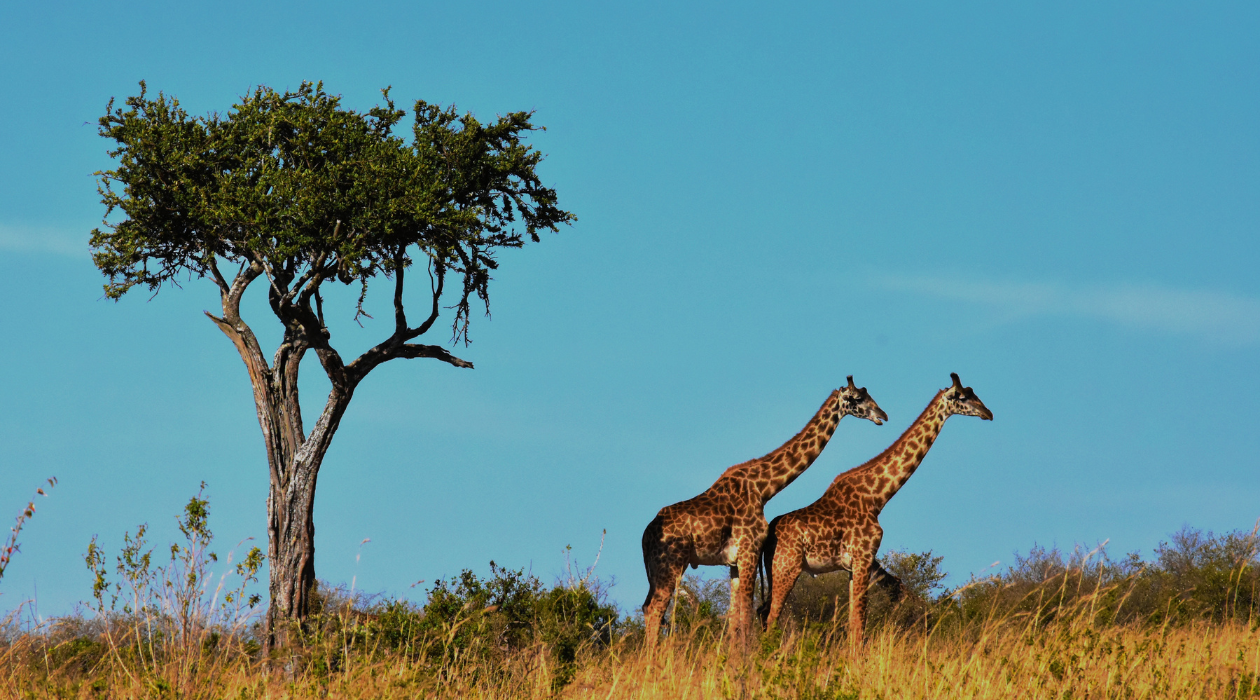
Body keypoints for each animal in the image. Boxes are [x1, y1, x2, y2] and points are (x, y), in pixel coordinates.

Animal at [640, 377, 888, 650]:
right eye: (857, 398)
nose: (882, 415)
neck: (763, 488)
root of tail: (646, 537)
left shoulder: (735, 561)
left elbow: (735, 618)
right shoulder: (749, 550)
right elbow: (746, 615)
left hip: (656, 570)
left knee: (647, 607)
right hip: (672, 564)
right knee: (655, 608)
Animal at [757, 373, 992, 653]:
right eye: (963, 397)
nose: (988, 412)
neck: (877, 496)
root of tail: (769, 536)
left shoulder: (854, 565)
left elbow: (854, 622)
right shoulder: (864, 557)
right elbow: (859, 623)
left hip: (773, 570)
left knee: (762, 612)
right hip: (787, 567)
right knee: (772, 616)